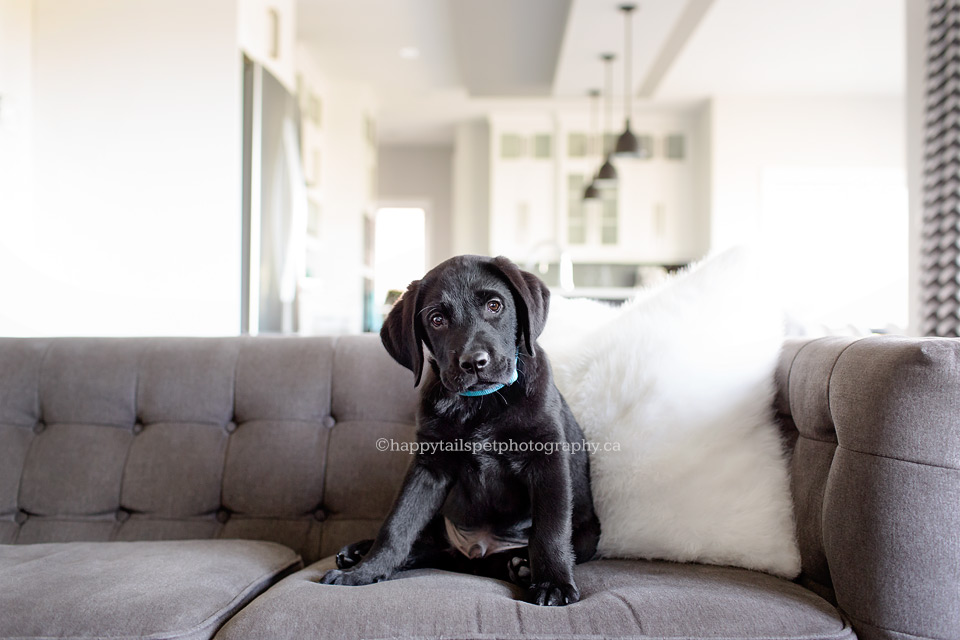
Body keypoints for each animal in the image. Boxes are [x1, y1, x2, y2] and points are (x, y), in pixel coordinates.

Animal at [318, 254, 596, 604]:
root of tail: (474, 553)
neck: (480, 403)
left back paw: (521, 567)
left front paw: (554, 584)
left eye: (495, 305)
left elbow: (550, 529)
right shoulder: (429, 466)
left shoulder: (547, 458)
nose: (474, 362)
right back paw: (357, 554)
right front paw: (364, 573)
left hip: (586, 533)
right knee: (424, 544)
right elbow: (398, 524)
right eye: (437, 319)